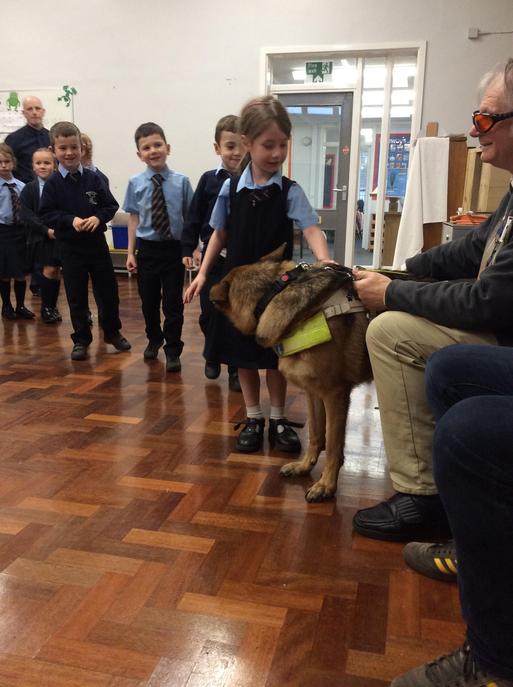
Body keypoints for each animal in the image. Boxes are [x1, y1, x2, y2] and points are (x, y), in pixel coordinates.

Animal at [209, 244, 372, 502]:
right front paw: (305, 466)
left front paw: (326, 485)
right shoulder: (314, 393)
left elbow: (333, 445)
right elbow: (316, 435)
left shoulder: (335, 395)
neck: (273, 293)